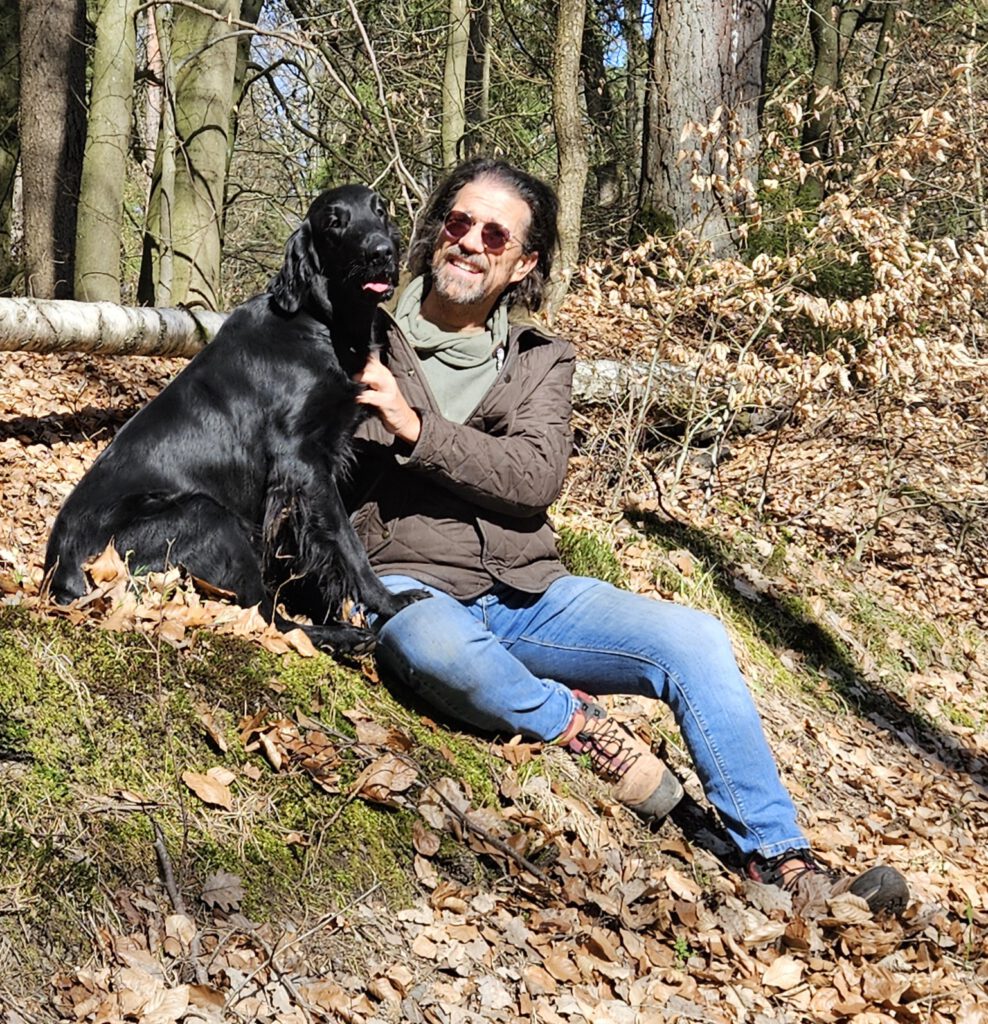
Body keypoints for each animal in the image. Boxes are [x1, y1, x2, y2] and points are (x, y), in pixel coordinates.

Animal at [44, 184, 427, 654]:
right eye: (334, 222)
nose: (382, 251)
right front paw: (387, 602)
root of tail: (61, 578)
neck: (317, 322)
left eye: (380, 210)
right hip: (207, 516)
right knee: (265, 617)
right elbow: (345, 542)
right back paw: (344, 636)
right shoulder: (301, 461)